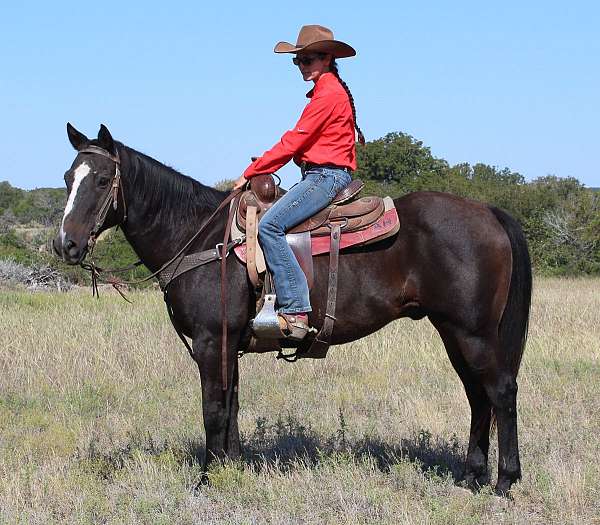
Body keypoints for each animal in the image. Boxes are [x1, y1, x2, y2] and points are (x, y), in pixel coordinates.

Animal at [52, 124, 528, 496]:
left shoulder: (210, 342)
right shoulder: (229, 344)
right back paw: (470, 476)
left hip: (474, 333)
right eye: (68, 177)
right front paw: (232, 469)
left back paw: (504, 480)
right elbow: (232, 406)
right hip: (453, 331)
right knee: (477, 395)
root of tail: (488, 211)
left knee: (501, 391)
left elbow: (213, 409)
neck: (199, 236)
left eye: (101, 181)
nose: (65, 245)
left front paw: (206, 480)